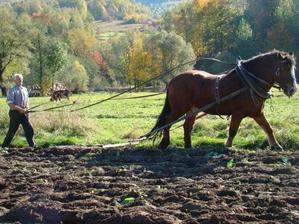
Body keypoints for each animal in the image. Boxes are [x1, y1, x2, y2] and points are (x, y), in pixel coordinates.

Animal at [150, 50, 298, 150]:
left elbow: (268, 128)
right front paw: (227, 146)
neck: (247, 82)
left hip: (193, 109)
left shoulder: (257, 113)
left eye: (292, 67)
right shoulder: (238, 113)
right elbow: (233, 130)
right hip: (179, 108)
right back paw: (164, 144)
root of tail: (173, 81)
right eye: (284, 68)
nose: (292, 89)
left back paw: (188, 147)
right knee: (167, 122)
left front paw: (276, 145)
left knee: (187, 126)